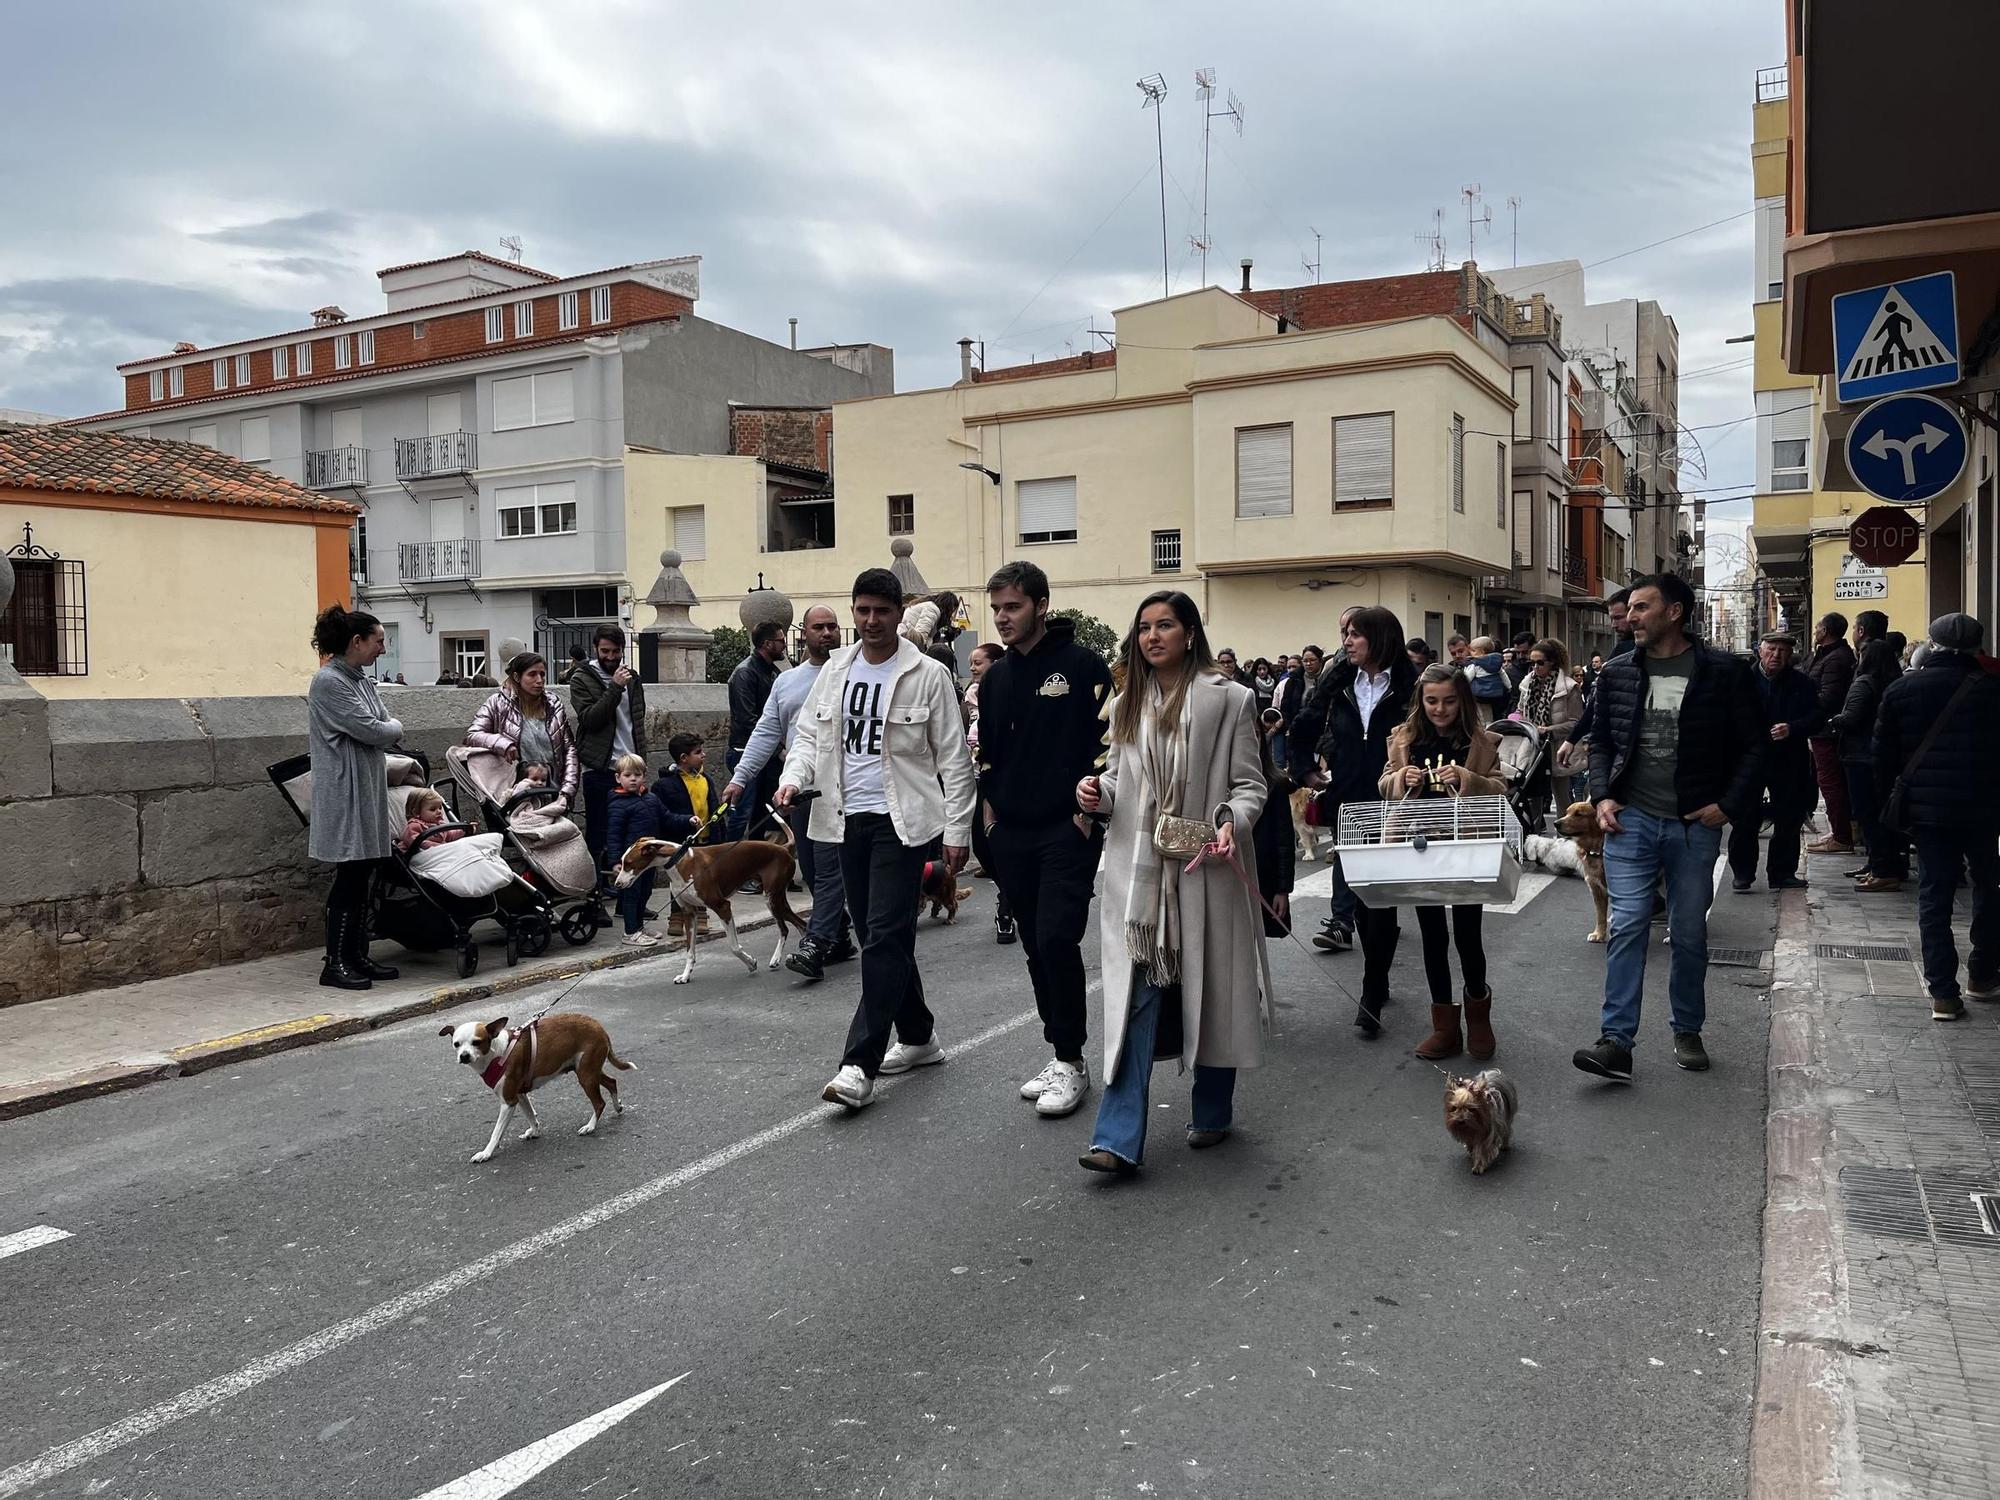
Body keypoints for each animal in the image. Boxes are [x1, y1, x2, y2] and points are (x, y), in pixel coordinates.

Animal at [444, 1016, 632, 1168]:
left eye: (476, 1042)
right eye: (456, 1044)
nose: (464, 1056)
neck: (496, 1053)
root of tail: (598, 1026)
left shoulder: (508, 1101)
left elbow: (496, 1132)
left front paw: (486, 1153)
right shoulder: (519, 1095)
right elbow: (530, 1115)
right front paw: (534, 1132)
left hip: (586, 1075)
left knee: (599, 1103)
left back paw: (590, 1126)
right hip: (588, 1071)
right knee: (612, 1082)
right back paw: (617, 1107)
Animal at [608, 812, 804, 988]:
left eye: (628, 864)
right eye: (623, 862)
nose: (617, 883)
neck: (680, 861)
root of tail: (784, 848)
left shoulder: (723, 906)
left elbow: (734, 946)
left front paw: (750, 962)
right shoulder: (689, 913)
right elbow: (690, 951)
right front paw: (685, 976)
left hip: (771, 898)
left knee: (785, 928)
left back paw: (777, 958)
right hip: (776, 899)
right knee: (800, 924)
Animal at [1552, 804, 1616, 944]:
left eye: (1579, 814)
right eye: (1567, 812)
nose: (1556, 823)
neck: (1596, 849)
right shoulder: (1596, 889)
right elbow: (1600, 915)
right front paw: (1599, 934)